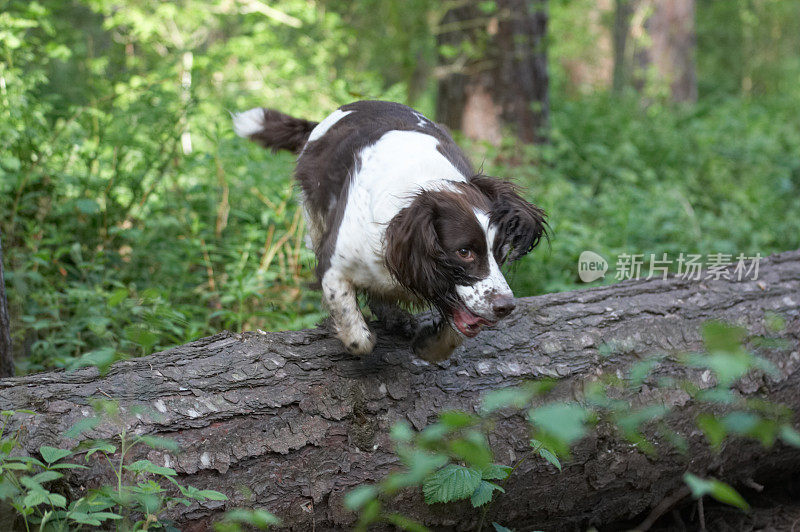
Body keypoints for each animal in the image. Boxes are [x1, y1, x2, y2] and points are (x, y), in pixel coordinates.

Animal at [228, 100, 548, 362]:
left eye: (500, 252)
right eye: (464, 252)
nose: (506, 306)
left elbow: (452, 330)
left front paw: (428, 344)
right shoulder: (334, 266)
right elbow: (357, 335)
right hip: (315, 215)